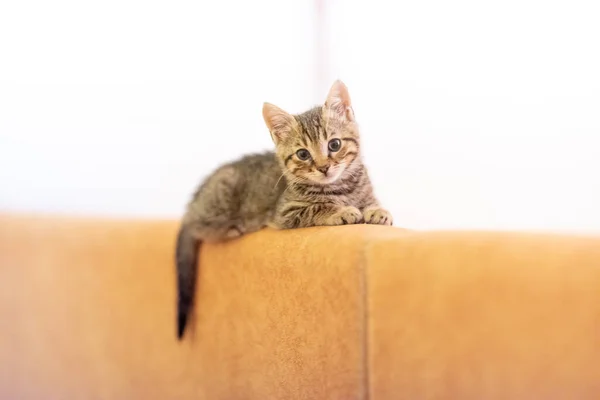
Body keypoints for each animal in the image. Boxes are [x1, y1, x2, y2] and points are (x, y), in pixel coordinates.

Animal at [177, 81, 394, 340]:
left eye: (334, 144)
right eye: (303, 154)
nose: (324, 167)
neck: (341, 187)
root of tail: (196, 198)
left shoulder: (366, 191)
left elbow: (372, 202)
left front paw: (378, 212)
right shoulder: (285, 212)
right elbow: (319, 207)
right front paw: (340, 211)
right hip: (220, 197)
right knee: (196, 225)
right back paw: (230, 228)